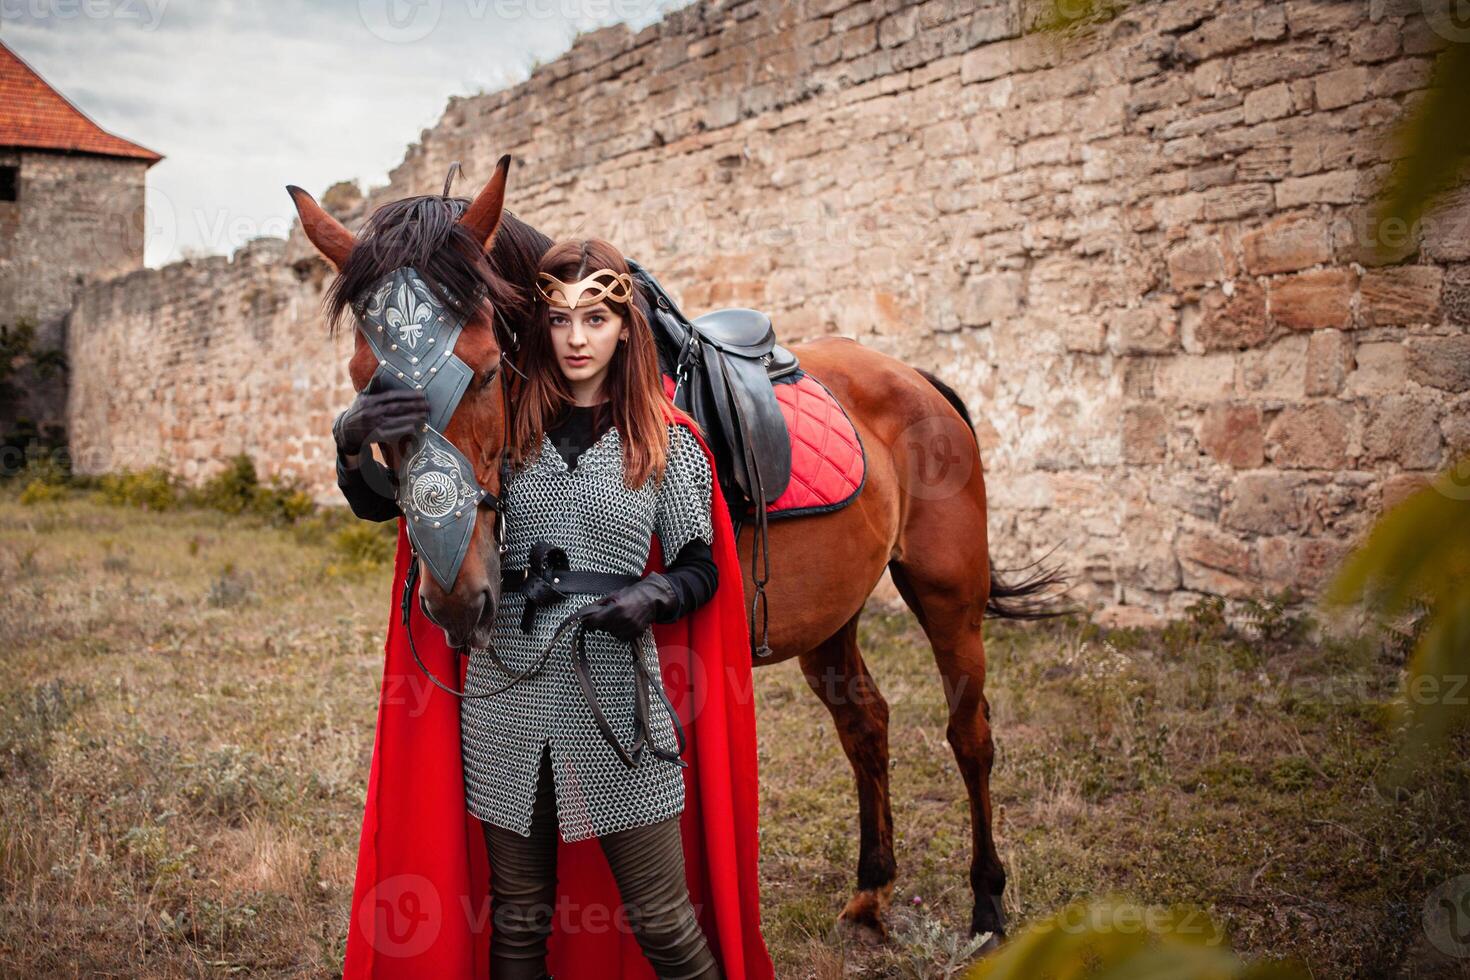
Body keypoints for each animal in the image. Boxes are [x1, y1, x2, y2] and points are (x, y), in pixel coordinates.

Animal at [289, 163, 1058, 952]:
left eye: (482, 371)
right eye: (365, 384)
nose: (454, 598)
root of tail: (919, 381)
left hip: (948, 594)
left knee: (970, 734)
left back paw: (988, 906)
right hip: (833, 611)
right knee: (865, 722)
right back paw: (871, 891)